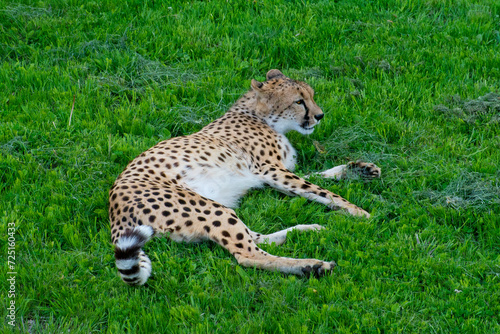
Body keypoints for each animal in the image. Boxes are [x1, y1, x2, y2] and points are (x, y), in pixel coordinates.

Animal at [110, 70, 378, 284]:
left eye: (311, 96)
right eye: (299, 101)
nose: (320, 115)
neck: (259, 116)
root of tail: (114, 209)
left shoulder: (275, 172)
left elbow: (319, 178)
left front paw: (359, 169)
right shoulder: (272, 170)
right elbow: (321, 190)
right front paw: (360, 212)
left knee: (256, 238)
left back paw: (308, 229)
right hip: (209, 208)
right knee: (248, 255)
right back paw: (310, 265)